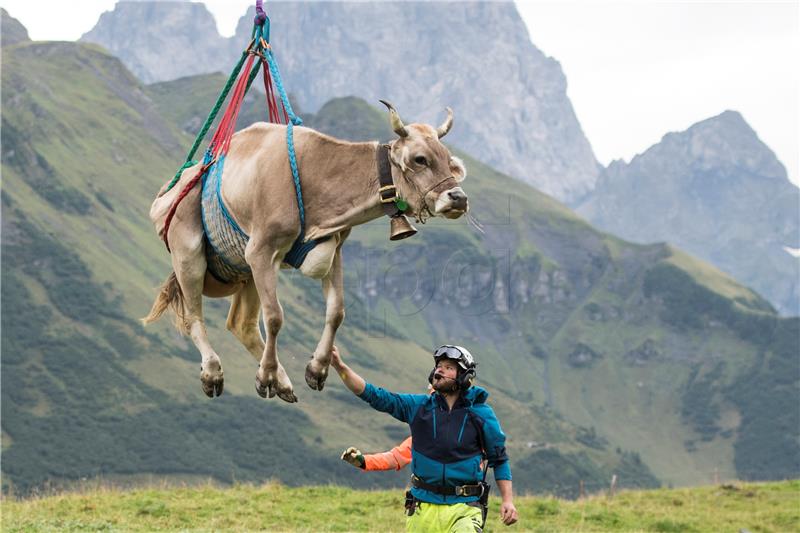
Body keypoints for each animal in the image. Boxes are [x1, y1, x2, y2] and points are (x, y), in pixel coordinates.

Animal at [144, 100, 468, 402]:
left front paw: (317, 368)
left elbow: (336, 312)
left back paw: (283, 382)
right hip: (189, 253)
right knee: (194, 317)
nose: (459, 198)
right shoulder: (261, 250)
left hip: (245, 269)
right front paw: (265, 377)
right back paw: (213, 372)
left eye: (447, 160)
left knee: (242, 324)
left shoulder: (333, 251)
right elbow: (275, 317)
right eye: (420, 159)